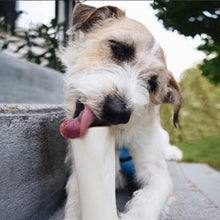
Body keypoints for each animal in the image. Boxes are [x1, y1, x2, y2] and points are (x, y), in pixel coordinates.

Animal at [60, 3, 182, 220]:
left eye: (152, 85)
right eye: (119, 49)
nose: (118, 112)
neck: (119, 139)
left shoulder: (157, 174)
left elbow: (148, 202)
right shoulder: (80, 173)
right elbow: (75, 199)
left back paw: (173, 152)